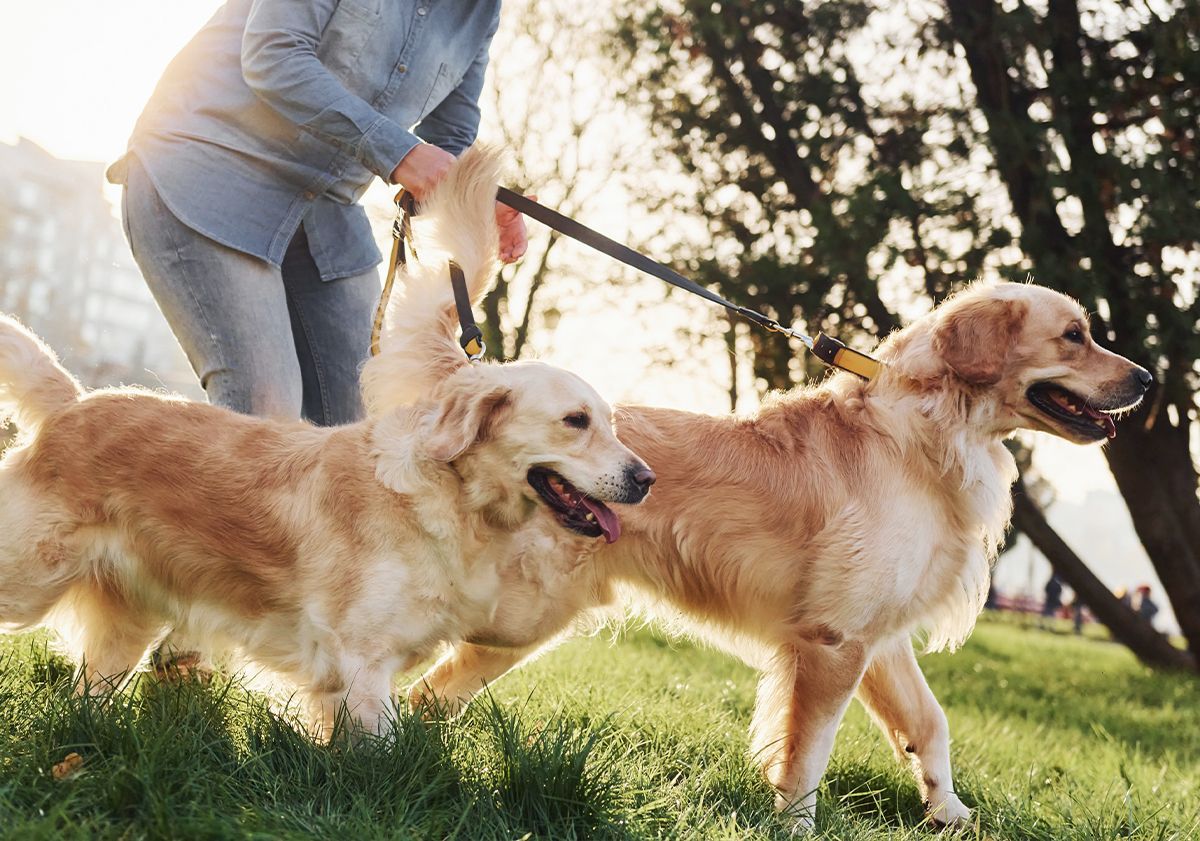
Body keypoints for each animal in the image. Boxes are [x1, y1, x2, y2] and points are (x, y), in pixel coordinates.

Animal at [0, 145, 652, 734]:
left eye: (611, 424)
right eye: (575, 421)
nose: (646, 479)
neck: (444, 501)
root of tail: (75, 402)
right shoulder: (359, 659)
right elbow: (390, 753)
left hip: (126, 619)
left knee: (89, 694)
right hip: (30, 574)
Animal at [412, 281, 1152, 825]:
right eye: (1075, 335)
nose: (1147, 377)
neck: (929, 431)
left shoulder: (877, 638)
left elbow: (929, 723)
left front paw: (950, 811)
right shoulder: (833, 641)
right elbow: (810, 753)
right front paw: (797, 822)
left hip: (521, 627)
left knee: (431, 693)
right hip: (520, 614)